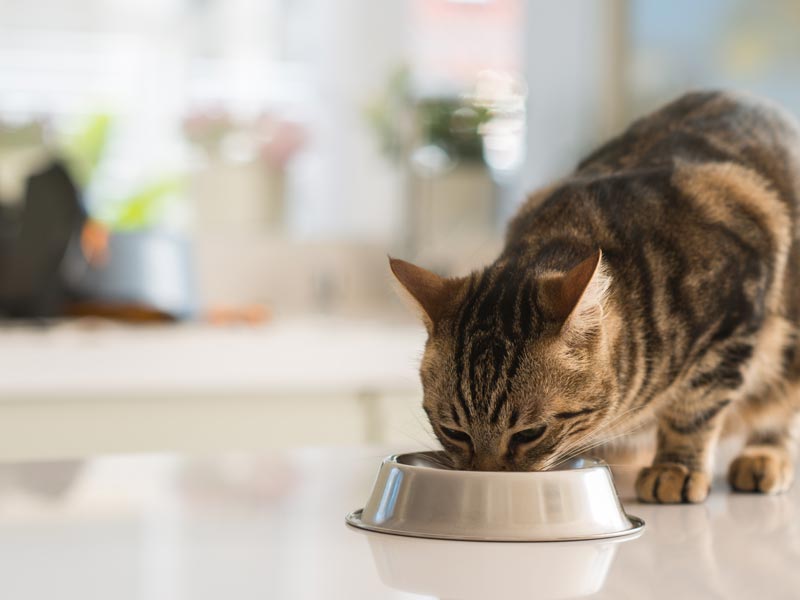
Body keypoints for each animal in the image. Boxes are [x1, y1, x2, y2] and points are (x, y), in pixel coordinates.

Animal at [390, 91, 800, 504]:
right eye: (454, 432)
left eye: (529, 434)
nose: (484, 478)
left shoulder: (734, 313)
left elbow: (694, 407)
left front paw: (676, 467)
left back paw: (764, 455)